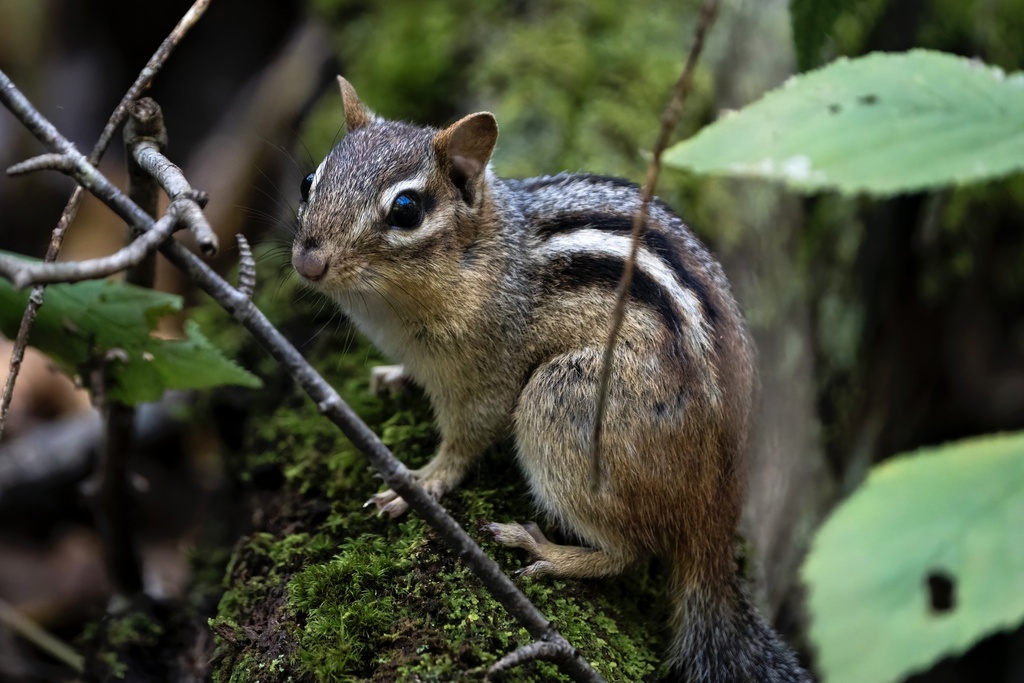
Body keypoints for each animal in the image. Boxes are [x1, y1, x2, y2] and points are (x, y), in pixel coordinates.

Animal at [291, 76, 811, 683]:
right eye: (308, 181)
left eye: (406, 209)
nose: (308, 262)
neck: (482, 253)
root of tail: (718, 515)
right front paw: (394, 376)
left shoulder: (488, 371)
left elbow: (467, 439)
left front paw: (422, 482)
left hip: (564, 405)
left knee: (630, 553)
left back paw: (548, 552)